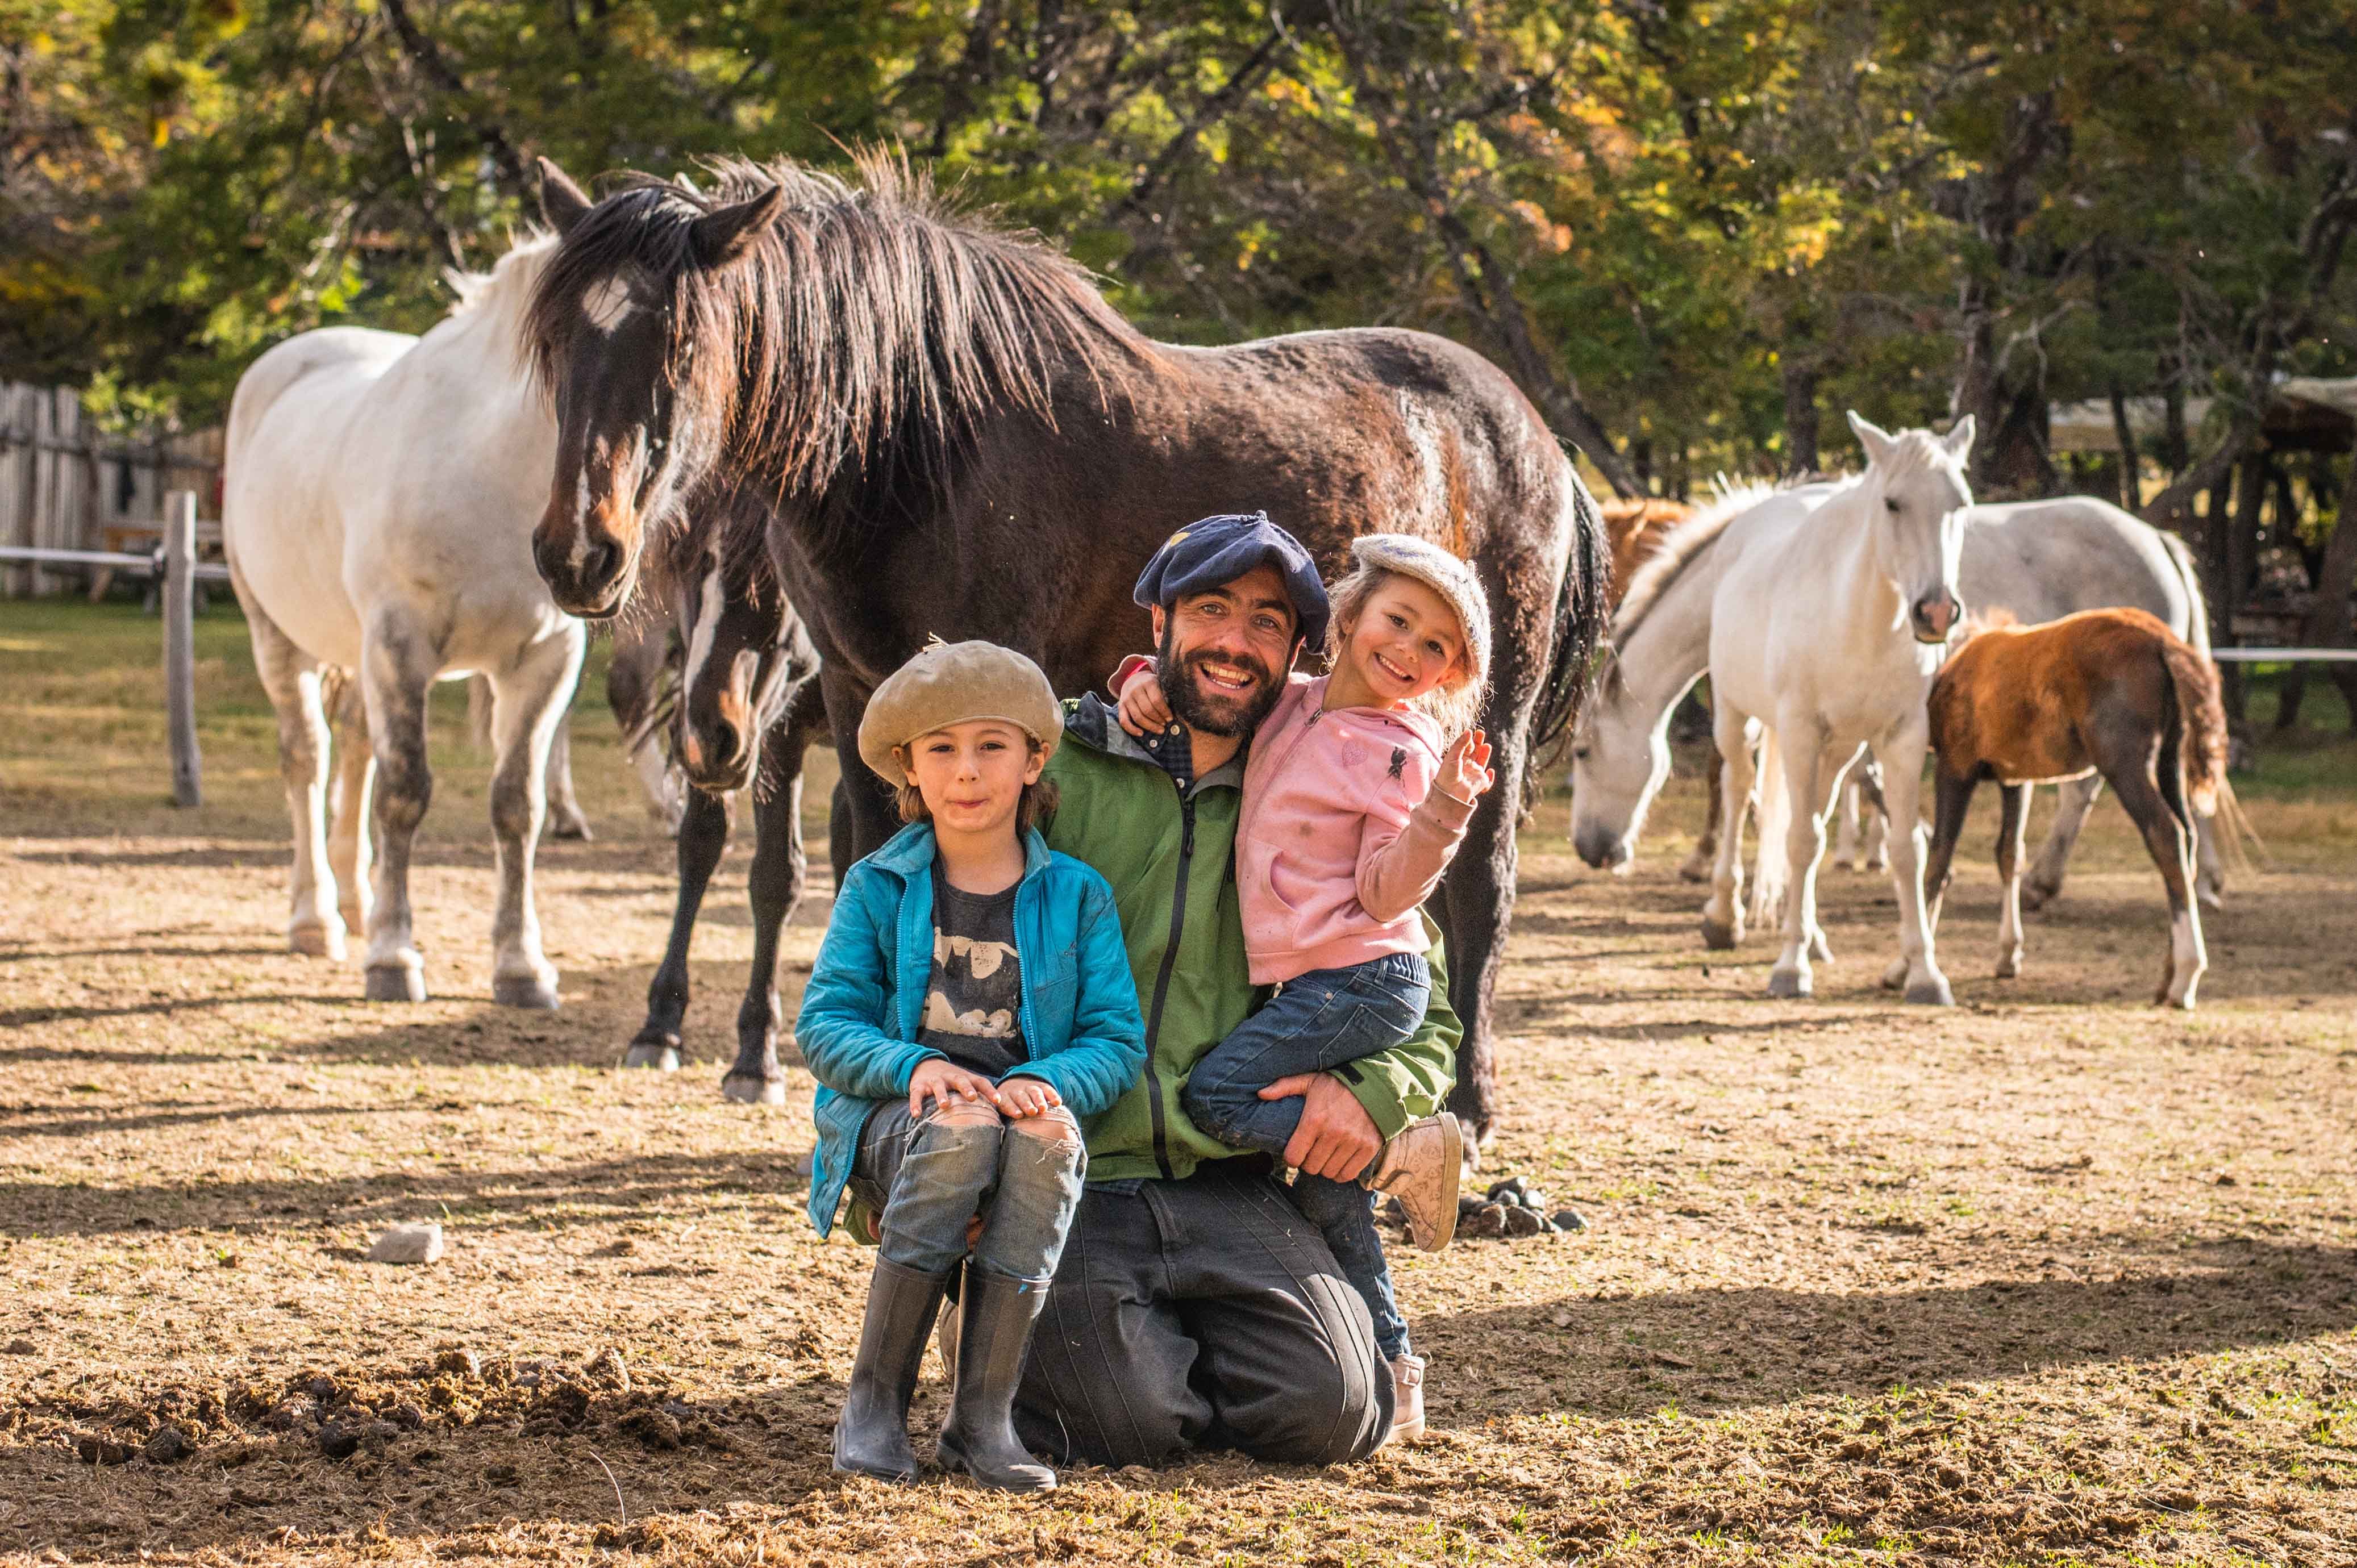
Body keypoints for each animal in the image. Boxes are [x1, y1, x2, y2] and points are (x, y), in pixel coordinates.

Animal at [225, 238, 584, 1009]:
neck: (495, 468)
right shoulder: (400, 645)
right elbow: (403, 793)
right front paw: (393, 958)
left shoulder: (546, 660)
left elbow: (518, 805)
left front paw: (521, 967)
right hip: (280, 638)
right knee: (309, 757)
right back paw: (316, 919)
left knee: (357, 748)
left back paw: (356, 901)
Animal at [523, 155, 1612, 1136]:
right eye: (558, 341)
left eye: (678, 342)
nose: (580, 552)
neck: (918, 448)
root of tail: (1536, 436)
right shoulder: (852, 690)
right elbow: (872, 866)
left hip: (1493, 715)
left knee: (1478, 889)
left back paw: (1467, 1108)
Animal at [1574, 481, 2216, 919]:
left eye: (1579, 753)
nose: (1589, 849)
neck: (1746, 564)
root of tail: (2155, 539)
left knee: (2083, 793)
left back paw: (2043, 882)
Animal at [1914, 603, 2225, 1009]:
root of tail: (2163, 641)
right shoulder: (2016, 778)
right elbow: (2009, 854)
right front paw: (2008, 955)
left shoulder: (1955, 768)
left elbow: (1939, 859)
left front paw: (1907, 969)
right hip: (2169, 759)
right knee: (2187, 836)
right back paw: (2167, 976)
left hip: (2123, 761)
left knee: (2165, 833)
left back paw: (2186, 977)